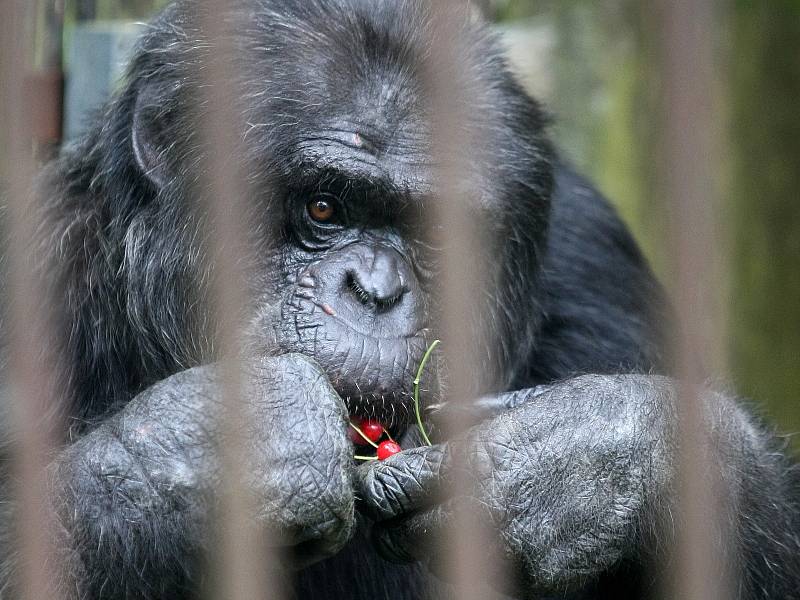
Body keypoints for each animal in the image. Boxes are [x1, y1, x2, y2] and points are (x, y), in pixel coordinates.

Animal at [1, 1, 800, 600]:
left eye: (437, 231)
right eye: (323, 208)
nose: (377, 290)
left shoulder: (600, 268)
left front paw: (590, 459)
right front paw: (209, 454)